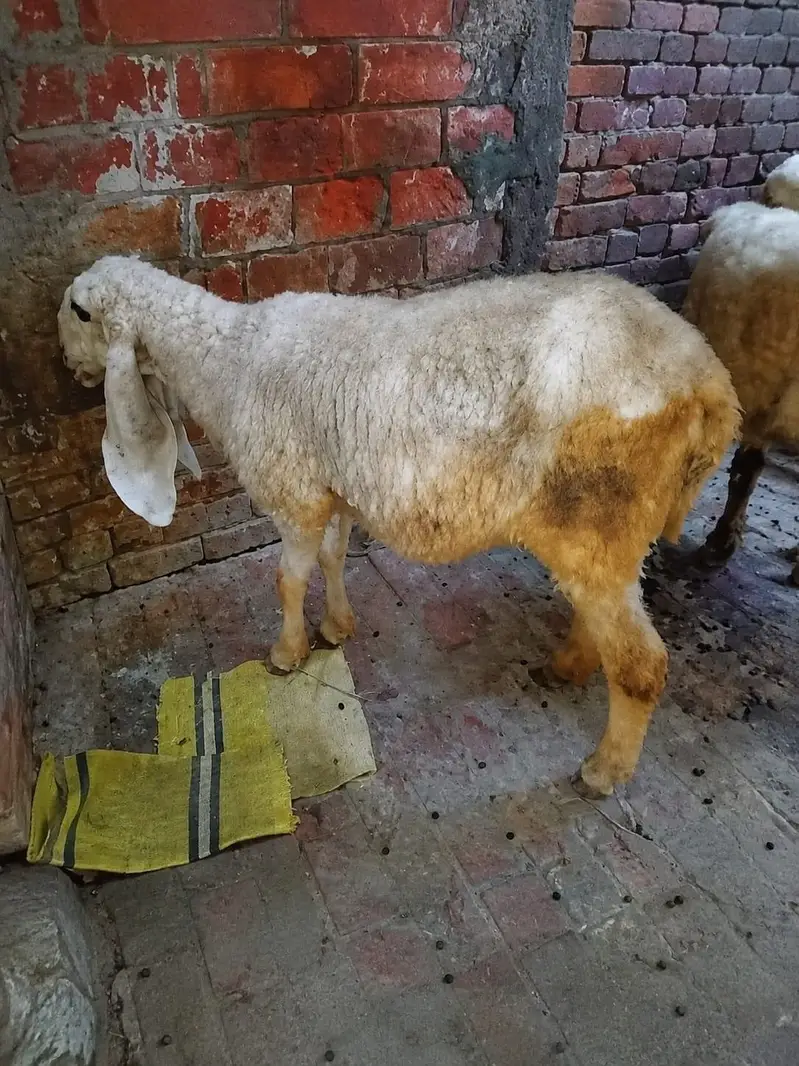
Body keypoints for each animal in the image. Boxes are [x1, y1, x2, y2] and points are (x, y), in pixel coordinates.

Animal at [58, 255, 738, 797]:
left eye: (78, 311)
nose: (68, 366)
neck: (228, 356)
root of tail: (713, 384)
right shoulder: (333, 488)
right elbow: (331, 559)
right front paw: (337, 626)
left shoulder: (295, 491)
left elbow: (287, 579)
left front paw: (286, 653)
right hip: (602, 532)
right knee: (600, 616)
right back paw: (566, 666)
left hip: (600, 512)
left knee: (641, 664)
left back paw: (603, 770)